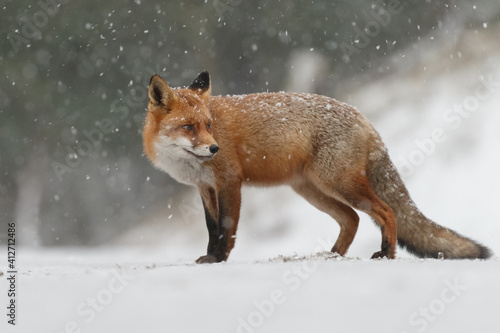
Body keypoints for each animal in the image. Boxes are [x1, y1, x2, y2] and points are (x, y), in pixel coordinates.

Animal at [142, 70, 492, 262]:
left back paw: (387, 253)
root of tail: (363, 118)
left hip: (339, 185)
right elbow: (211, 228)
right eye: (189, 127)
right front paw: (211, 256)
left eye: (209, 125)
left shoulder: (230, 182)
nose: (214, 148)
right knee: (352, 219)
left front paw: (218, 260)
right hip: (313, 191)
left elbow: (226, 229)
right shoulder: (205, 188)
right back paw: (333, 255)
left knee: (387, 212)